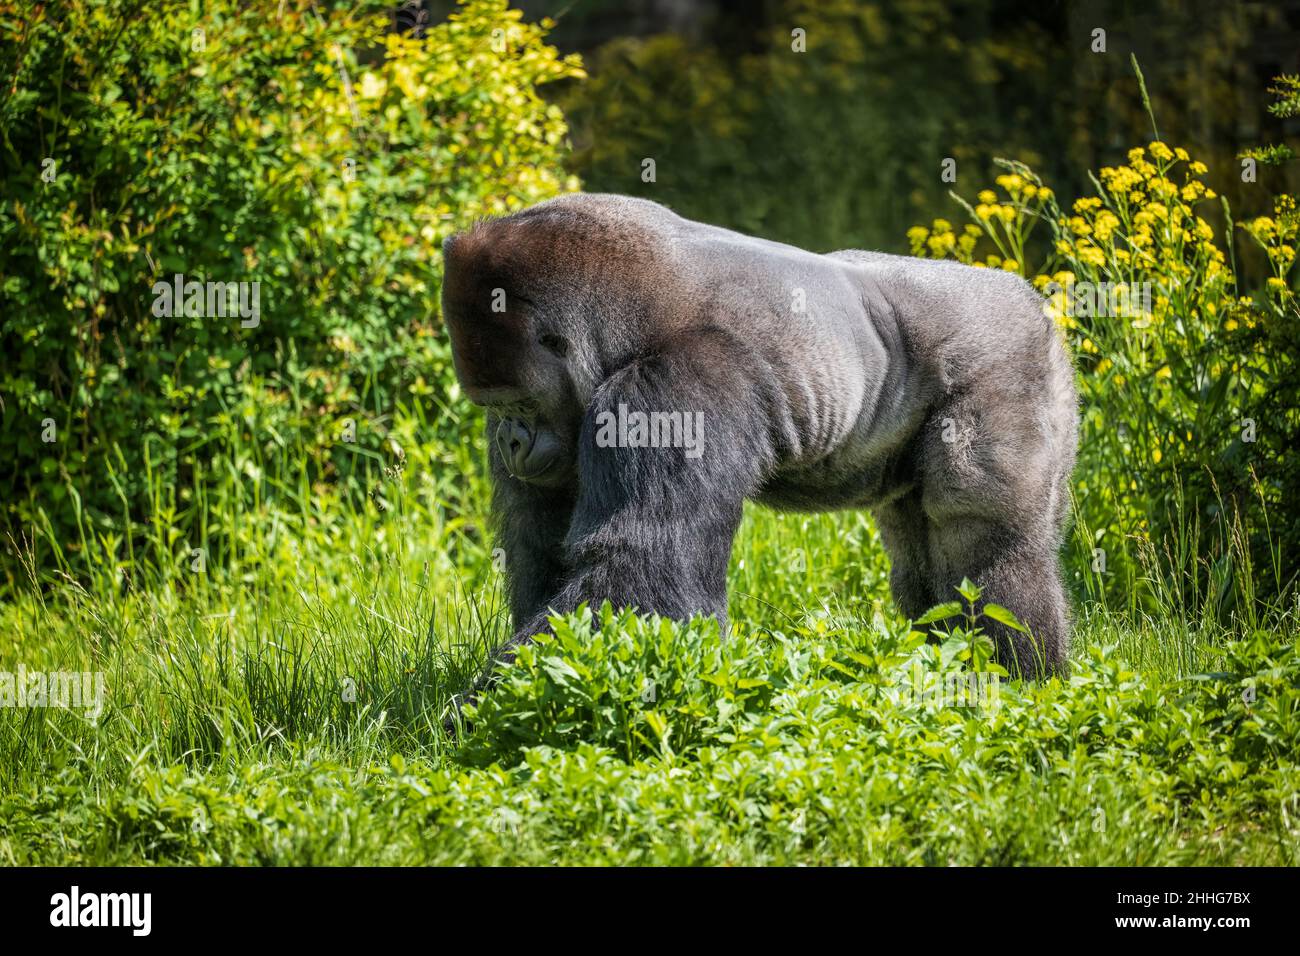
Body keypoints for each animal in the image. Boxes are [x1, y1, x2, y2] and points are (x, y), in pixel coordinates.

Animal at [440, 193, 1078, 689]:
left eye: (521, 405)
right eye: (495, 410)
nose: (511, 443)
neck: (619, 319)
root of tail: (1030, 300)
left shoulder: (670, 389)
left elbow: (638, 568)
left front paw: (483, 707)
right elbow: (544, 554)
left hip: (1010, 361)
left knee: (984, 543)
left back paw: (1019, 674)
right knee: (920, 549)